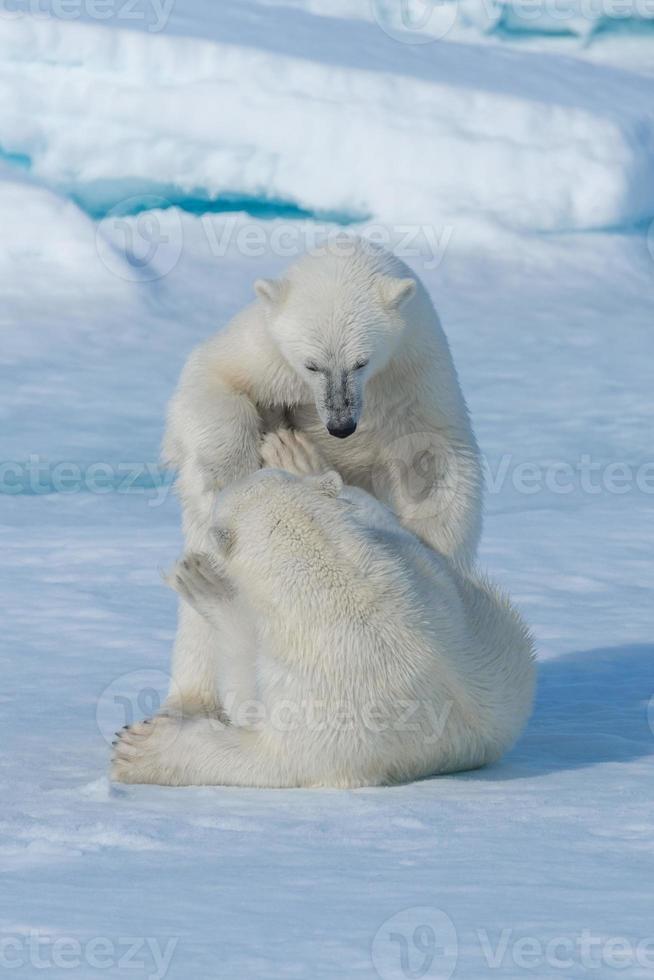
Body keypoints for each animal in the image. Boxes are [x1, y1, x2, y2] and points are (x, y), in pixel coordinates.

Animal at [162, 237, 484, 720]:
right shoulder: (264, 352)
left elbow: (438, 461)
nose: (340, 426)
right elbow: (211, 380)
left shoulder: (415, 369)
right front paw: (226, 472)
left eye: (361, 361)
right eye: (312, 365)